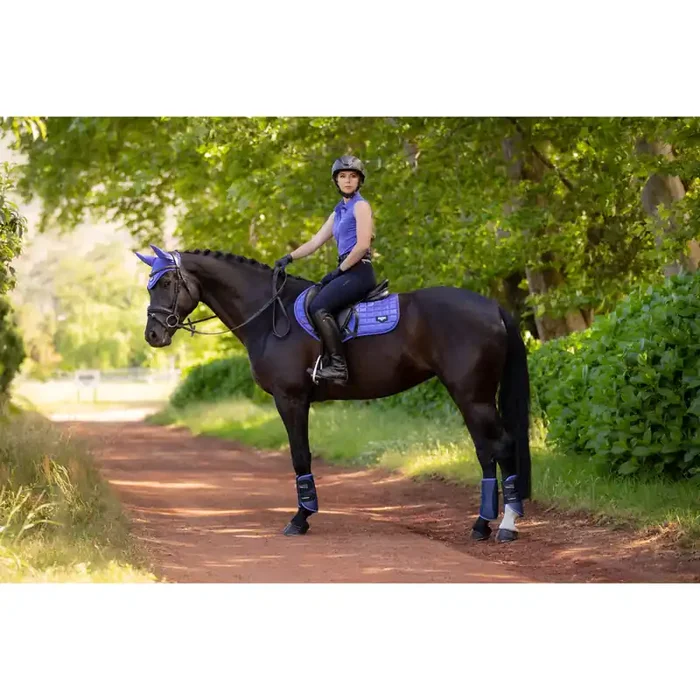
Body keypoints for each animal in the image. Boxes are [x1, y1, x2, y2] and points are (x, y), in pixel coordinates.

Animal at [136, 244, 532, 542]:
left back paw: (506, 526)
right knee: (485, 452)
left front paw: (300, 519)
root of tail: (493, 307)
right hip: (471, 396)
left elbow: (300, 456)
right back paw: (482, 525)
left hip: (473, 396)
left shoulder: (290, 400)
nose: (153, 335)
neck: (269, 316)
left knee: (500, 447)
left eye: (167, 281)